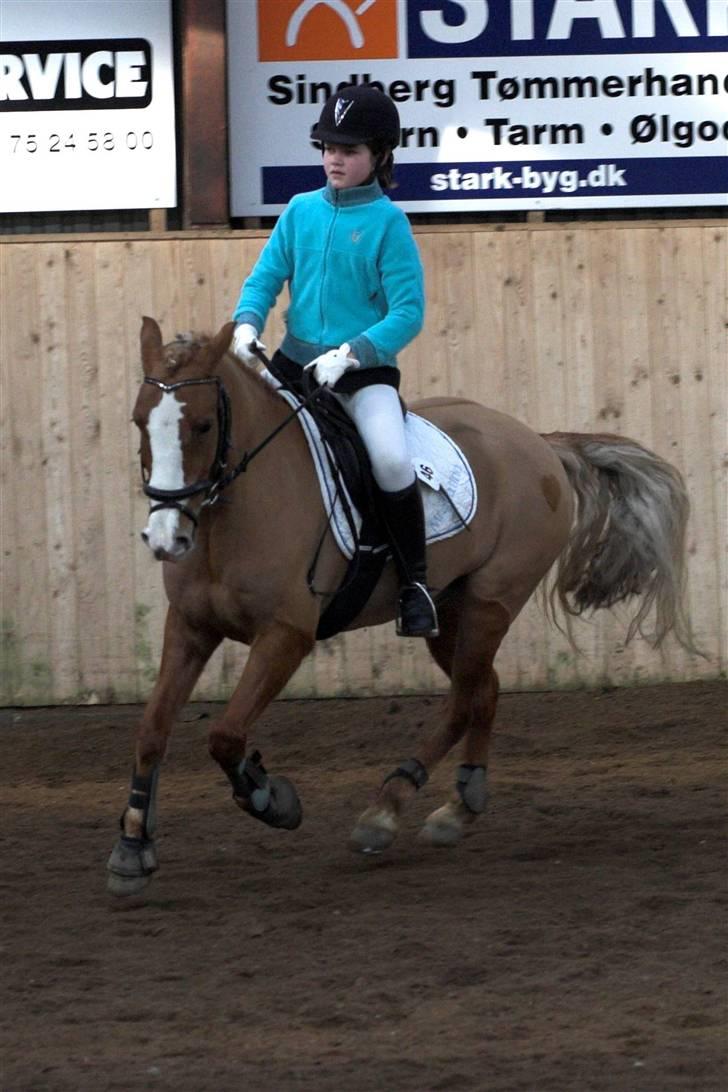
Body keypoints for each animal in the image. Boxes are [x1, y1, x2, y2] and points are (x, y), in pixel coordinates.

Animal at [107, 317, 695, 896]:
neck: (230, 518)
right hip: (449, 612)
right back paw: (460, 805)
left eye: (204, 425)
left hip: (490, 603)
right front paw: (133, 845)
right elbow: (152, 728)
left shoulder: (285, 636)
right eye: (139, 421)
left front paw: (272, 800)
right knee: (482, 689)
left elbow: (224, 735)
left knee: (463, 698)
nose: (166, 538)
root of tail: (539, 442)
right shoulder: (189, 628)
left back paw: (386, 810)